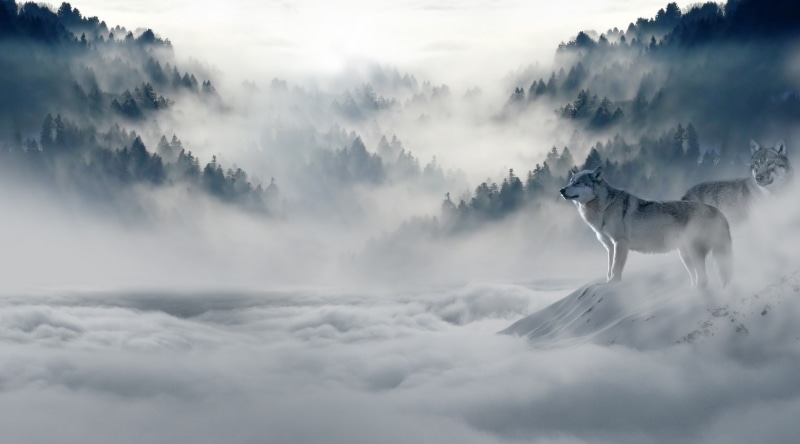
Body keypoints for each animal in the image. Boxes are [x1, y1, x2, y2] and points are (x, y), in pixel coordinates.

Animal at [560, 167, 732, 287]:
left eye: (578, 182)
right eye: (570, 181)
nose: (561, 190)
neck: (605, 207)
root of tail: (718, 211)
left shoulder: (620, 243)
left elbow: (615, 269)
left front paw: (613, 284)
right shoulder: (609, 247)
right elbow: (609, 270)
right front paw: (607, 283)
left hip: (693, 253)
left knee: (704, 279)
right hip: (685, 255)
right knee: (698, 278)